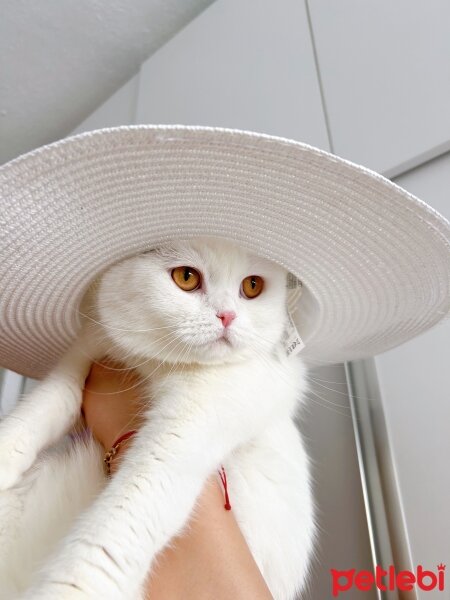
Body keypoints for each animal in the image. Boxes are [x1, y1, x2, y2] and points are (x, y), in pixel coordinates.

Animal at [0, 238, 316, 600]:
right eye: (186, 277)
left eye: (252, 286)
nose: (228, 316)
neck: (153, 363)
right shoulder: (83, 356)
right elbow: (44, 406)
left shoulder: (189, 427)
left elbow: (116, 526)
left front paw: (70, 588)